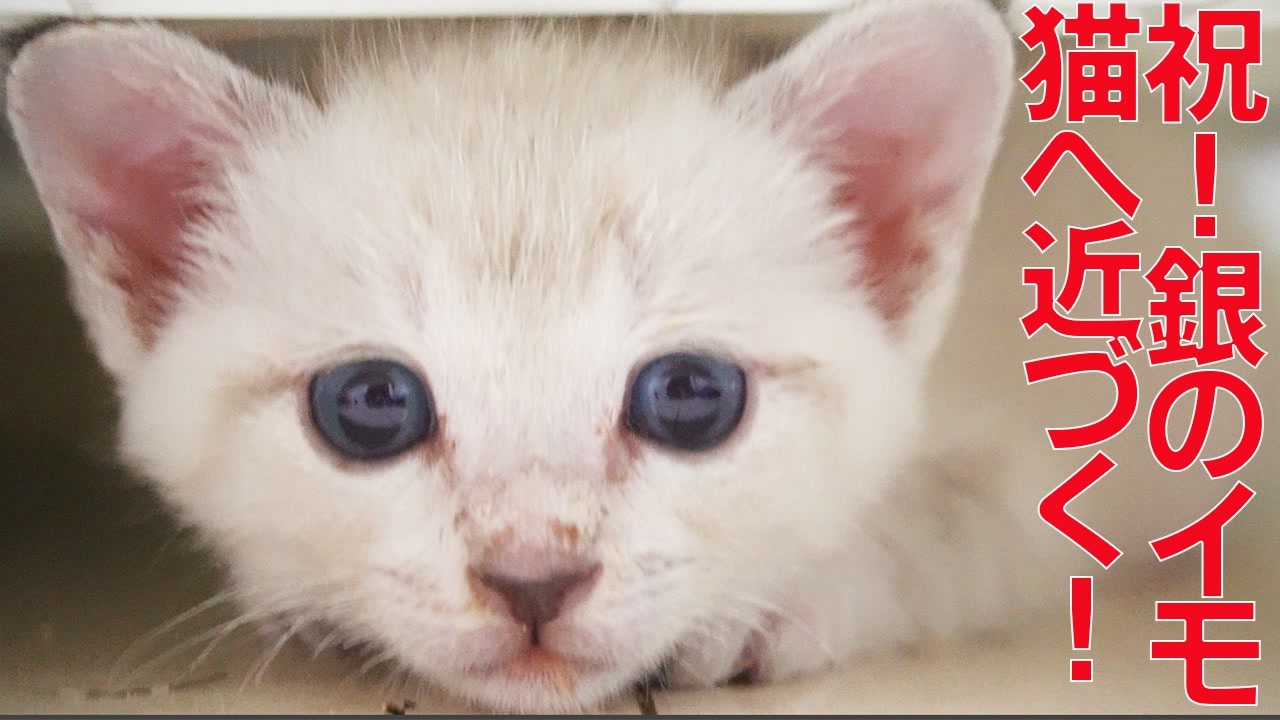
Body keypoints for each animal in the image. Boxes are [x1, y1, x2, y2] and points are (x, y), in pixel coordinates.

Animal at [5, 0, 1248, 713]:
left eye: (690, 397)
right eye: (368, 404)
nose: (530, 580)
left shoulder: (1048, 459)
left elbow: (937, 523)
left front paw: (776, 597)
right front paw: (295, 597)